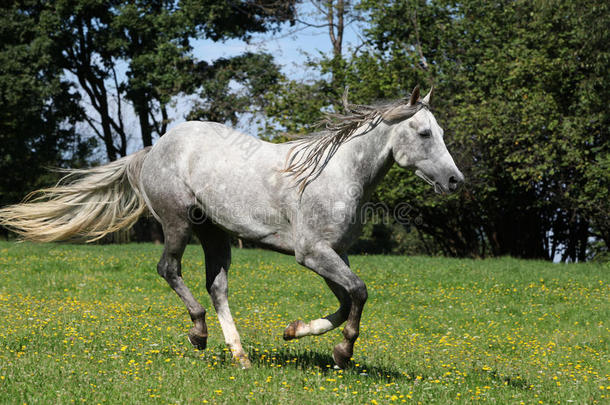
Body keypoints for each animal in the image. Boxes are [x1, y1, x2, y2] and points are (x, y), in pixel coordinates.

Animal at [0, 86, 460, 370]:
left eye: (439, 131)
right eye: (423, 133)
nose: (456, 181)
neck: (334, 173)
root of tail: (156, 146)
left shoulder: (334, 254)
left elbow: (348, 299)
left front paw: (295, 332)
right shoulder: (312, 253)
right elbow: (359, 293)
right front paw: (342, 351)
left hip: (215, 234)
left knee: (216, 286)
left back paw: (240, 356)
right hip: (179, 223)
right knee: (170, 271)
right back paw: (199, 334)